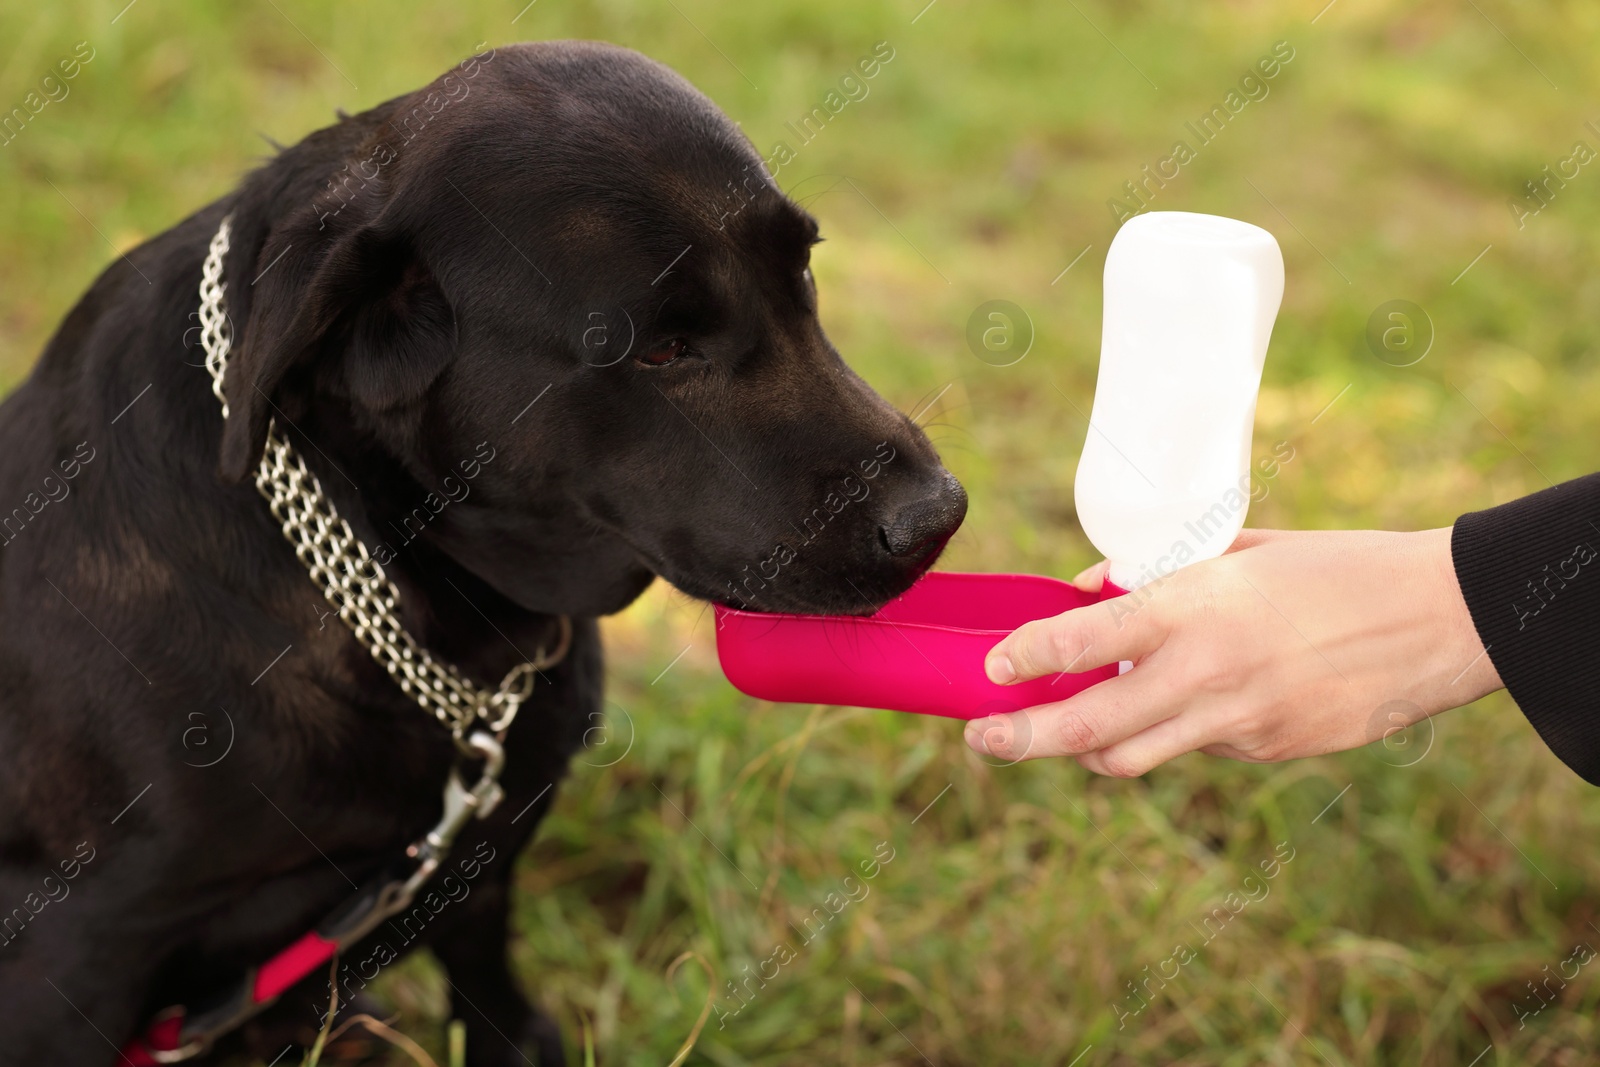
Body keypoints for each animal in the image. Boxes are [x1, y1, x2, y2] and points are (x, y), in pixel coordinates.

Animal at [0, 37, 960, 1062]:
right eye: (662, 350)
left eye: (803, 272)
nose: (937, 517)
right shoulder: (73, 952)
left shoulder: (479, 855)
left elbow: (489, 983)